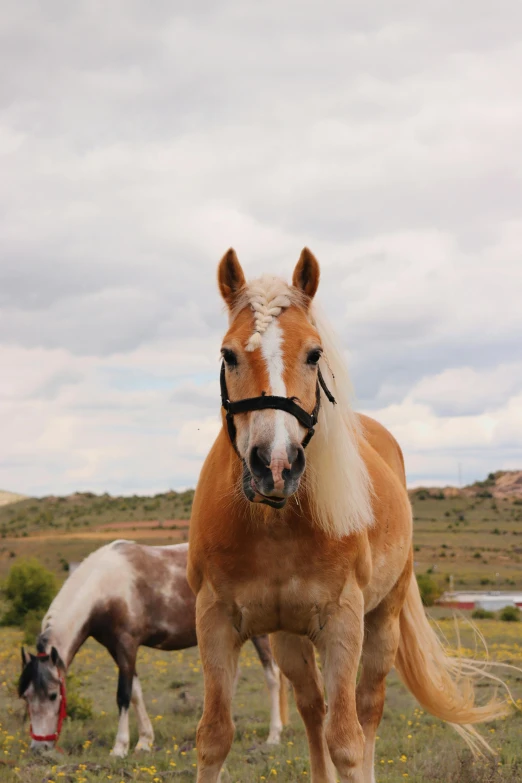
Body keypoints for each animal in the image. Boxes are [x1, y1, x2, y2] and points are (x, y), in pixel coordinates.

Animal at [17, 544, 284, 756]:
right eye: (27, 696)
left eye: (54, 695)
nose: (39, 748)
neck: (105, 589)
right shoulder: (117, 650)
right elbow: (136, 692)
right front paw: (144, 741)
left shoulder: (126, 646)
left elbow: (123, 695)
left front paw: (120, 747)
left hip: (258, 633)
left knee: (272, 676)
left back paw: (274, 736)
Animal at [188, 250, 508, 783]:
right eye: (228, 355)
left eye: (314, 354)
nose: (275, 464)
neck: (276, 526)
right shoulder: (215, 618)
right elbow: (215, 737)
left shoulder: (343, 622)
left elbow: (348, 741)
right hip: (289, 638)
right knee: (311, 707)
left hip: (383, 622)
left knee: (367, 708)